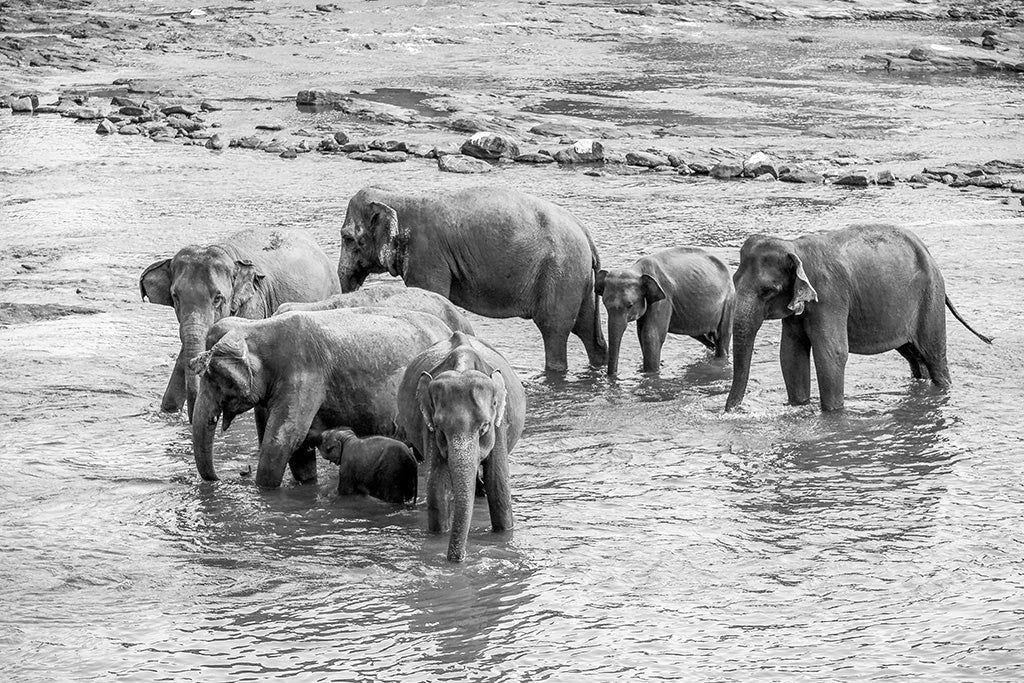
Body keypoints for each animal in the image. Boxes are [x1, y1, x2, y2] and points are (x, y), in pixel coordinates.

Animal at [189, 307, 453, 488]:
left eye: (219, 377)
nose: (220, 479)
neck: (257, 327)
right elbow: (300, 452)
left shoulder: (303, 376)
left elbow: (282, 441)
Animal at [335, 185, 607, 373]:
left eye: (347, 238)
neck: (398, 198)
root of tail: (585, 233)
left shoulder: (427, 256)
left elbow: (431, 294)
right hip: (578, 279)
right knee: (586, 329)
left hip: (561, 273)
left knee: (554, 329)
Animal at [396, 331, 526, 563]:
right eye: (440, 429)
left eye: (484, 427)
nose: (458, 558)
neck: (462, 368)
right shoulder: (427, 427)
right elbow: (436, 488)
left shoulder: (500, 423)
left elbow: (498, 485)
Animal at [595, 247, 734, 376]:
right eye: (605, 304)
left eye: (630, 305)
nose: (612, 376)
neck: (638, 270)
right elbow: (641, 334)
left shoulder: (664, 298)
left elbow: (651, 335)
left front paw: (651, 373)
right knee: (703, 336)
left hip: (728, 302)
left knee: (722, 337)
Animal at [725, 223, 993, 412]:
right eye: (734, 281)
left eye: (768, 291)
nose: (732, 412)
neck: (795, 248)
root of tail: (930, 256)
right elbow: (791, 355)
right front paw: (798, 407)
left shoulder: (830, 296)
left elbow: (831, 354)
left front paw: (832, 415)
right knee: (914, 356)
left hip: (930, 298)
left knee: (934, 354)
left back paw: (943, 388)